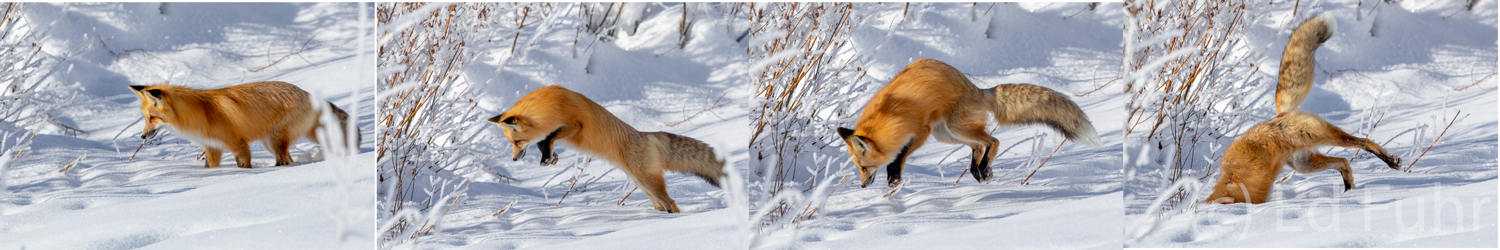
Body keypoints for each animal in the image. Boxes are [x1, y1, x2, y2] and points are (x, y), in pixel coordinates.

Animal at [129, 81, 357, 169]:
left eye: (152, 118)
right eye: (145, 118)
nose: (142, 137)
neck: (202, 113)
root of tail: (307, 93)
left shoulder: (238, 144)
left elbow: (244, 165)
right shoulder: (212, 148)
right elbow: (210, 168)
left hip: (274, 140)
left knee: (284, 161)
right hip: (269, 143)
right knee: (289, 160)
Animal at [486, 86, 726, 212]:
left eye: (516, 142)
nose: (514, 160)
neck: (548, 105)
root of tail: (644, 135)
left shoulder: (575, 125)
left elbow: (550, 136)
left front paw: (547, 155)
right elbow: (544, 140)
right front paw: (550, 156)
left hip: (648, 183)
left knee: (671, 203)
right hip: (644, 185)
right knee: (662, 205)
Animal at [834, 58, 1104, 187]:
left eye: (864, 167)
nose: (862, 186)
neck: (890, 114)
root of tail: (978, 90)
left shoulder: (921, 131)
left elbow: (899, 155)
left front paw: (894, 178)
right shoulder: (920, 133)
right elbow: (898, 155)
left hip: (953, 128)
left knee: (993, 141)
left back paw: (983, 169)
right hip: (947, 134)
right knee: (977, 145)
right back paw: (978, 171)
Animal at [1200, 14, 1398, 203]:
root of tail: (1281, 114)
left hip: (1320, 136)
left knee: (1363, 141)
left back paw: (1389, 161)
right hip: (1304, 164)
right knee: (1343, 162)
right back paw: (1349, 190)